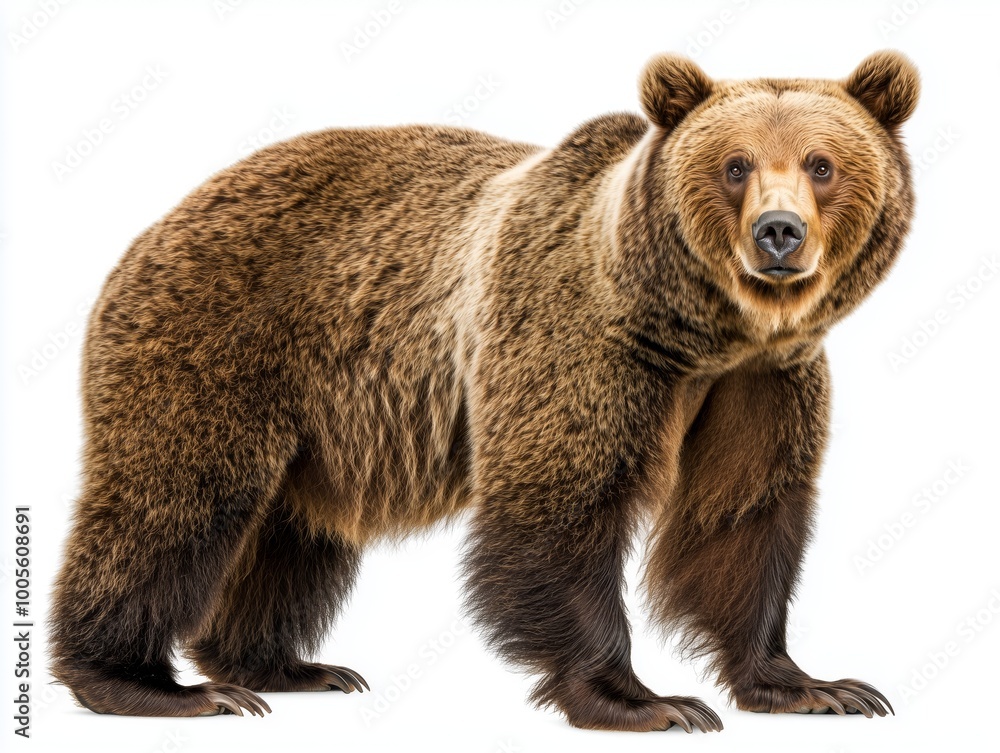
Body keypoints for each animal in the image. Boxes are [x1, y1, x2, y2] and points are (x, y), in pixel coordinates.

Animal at [50, 50, 918, 732]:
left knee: (293, 534)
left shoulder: (761, 378)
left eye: (822, 164)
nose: (779, 233)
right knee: (173, 502)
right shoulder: (580, 342)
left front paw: (814, 685)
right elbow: (559, 504)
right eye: (735, 165)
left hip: (316, 421)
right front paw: (646, 700)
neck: (699, 330)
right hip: (218, 343)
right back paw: (148, 683)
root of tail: (154, 225)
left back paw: (288, 666)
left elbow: (742, 512)